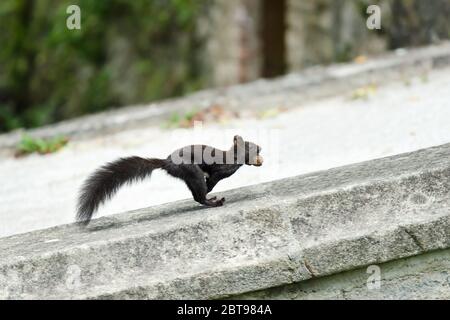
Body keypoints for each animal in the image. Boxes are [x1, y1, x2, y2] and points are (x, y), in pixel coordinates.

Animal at [75, 135, 262, 225]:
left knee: (196, 196)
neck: (231, 158)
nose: (261, 146)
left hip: (189, 176)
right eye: (252, 146)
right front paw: (210, 188)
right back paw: (215, 200)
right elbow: (212, 178)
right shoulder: (219, 171)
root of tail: (167, 162)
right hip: (192, 171)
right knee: (199, 194)